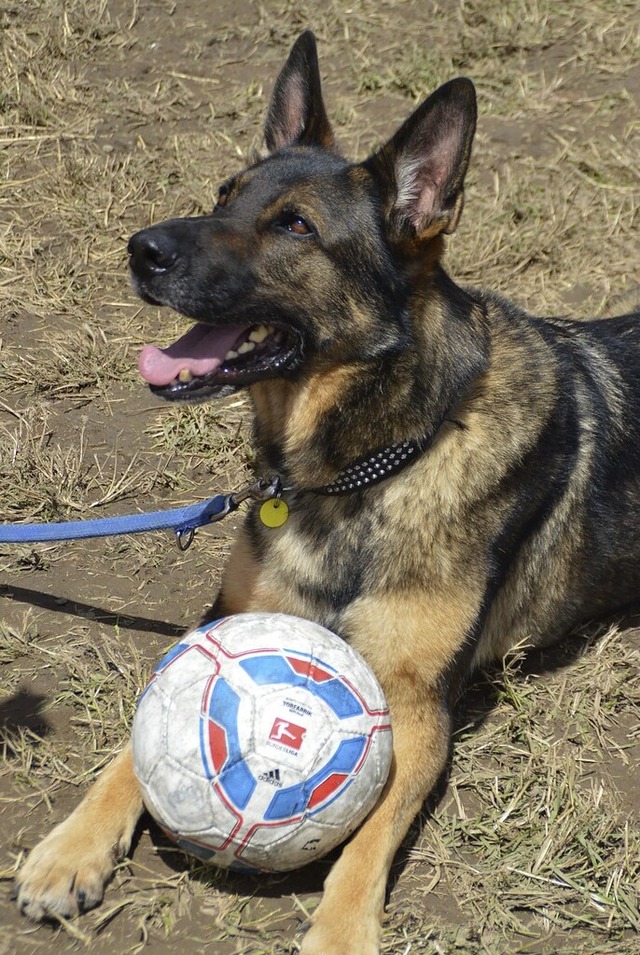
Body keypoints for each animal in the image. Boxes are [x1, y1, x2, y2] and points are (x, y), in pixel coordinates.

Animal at [13, 29, 640, 955]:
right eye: (223, 195)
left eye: (295, 226)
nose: (140, 248)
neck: (367, 464)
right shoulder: (221, 624)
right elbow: (132, 742)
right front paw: (72, 846)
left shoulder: (415, 706)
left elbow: (370, 832)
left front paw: (339, 933)